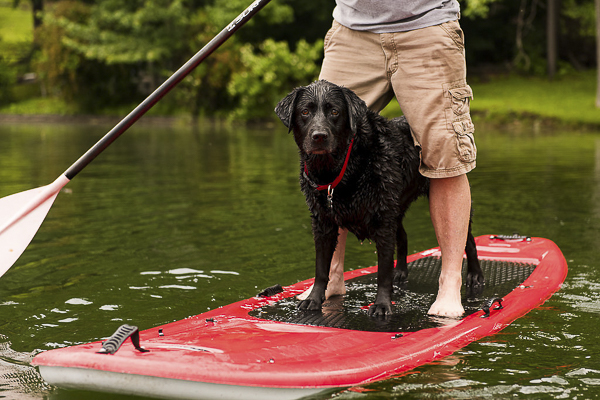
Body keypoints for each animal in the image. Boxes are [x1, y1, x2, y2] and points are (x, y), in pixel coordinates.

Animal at [276, 79, 482, 318]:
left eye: (335, 111)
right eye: (305, 112)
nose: (319, 136)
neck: (345, 167)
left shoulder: (382, 221)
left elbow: (383, 271)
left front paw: (383, 305)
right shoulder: (322, 223)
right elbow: (321, 268)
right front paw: (314, 299)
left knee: (467, 240)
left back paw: (475, 275)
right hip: (396, 207)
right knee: (403, 237)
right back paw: (400, 271)